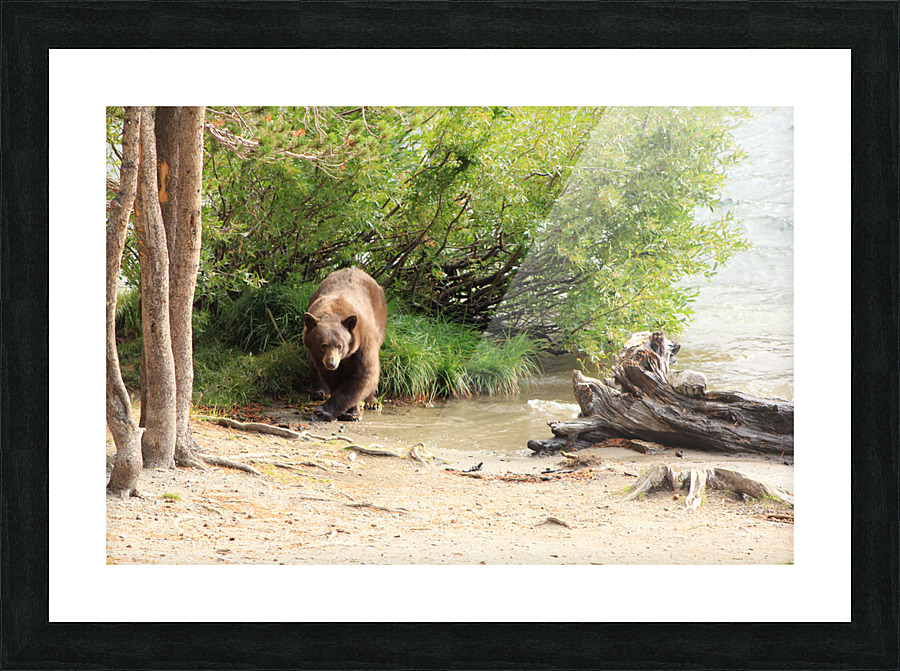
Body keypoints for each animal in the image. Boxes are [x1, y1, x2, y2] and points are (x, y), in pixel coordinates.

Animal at [302, 268, 387, 422]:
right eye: (323, 345)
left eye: (339, 345)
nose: (331, 363)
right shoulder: (320, 356)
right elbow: (332, 377)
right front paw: (344, 411)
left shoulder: (363, 343)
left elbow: (363, 375)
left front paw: (343, 412)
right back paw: (320, 391)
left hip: (380, 320)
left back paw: (373, 402)